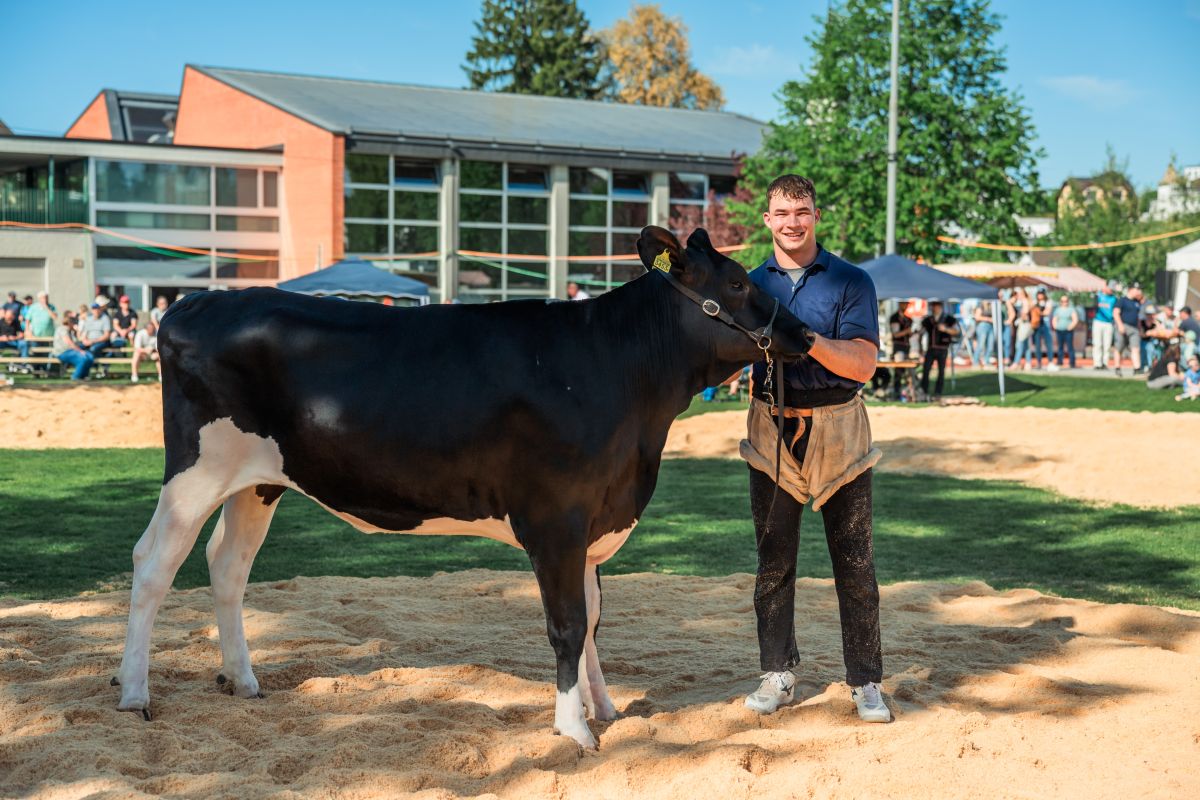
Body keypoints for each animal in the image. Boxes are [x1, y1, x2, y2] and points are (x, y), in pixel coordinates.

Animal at [111, 225, 815, 749]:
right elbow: (567, 624)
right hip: (196, 470)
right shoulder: (555, 519)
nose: (805, 334)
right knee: (153, 563)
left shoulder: (594, 520)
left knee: (226, 565)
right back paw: (134, 694)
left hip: (257, 482)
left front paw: (605, 708)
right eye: (738, 283)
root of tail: (196, 301)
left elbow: (592, 620)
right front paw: (573, 728)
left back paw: (243, 681)